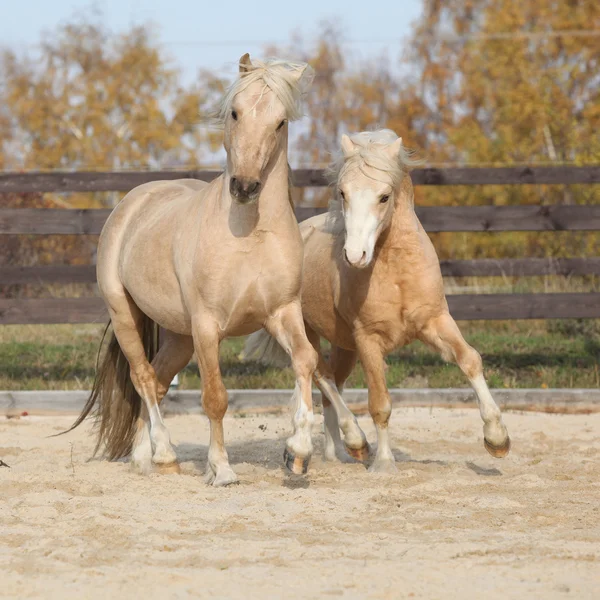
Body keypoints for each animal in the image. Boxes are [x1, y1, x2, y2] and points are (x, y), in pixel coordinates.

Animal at [68, 55, 322, 488]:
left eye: (280, 122)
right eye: (235, 112)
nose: (244, 187)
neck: (248, 234)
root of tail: (133, 201)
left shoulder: (282, 312)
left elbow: (306, 360)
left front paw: (298, 453)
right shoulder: (207, 326)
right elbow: (215, 398)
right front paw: (221, 469)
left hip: (179, 336)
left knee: (156, 380)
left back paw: (147, 458)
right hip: (126, 315)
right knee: (142, 377)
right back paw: (165, 455)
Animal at [244, 129, 510, 472]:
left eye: (384, 197)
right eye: (342, 193)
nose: (355, 255)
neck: (397, 273)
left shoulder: (436, 321)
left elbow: (470, 360)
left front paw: (497, 439)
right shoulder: (368, 339)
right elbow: (380, 403)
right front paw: (384, 463)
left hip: (343, 345)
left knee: (331, 387)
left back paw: (337, 454)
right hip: (308, 331)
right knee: (321, 375)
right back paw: (354, 443)